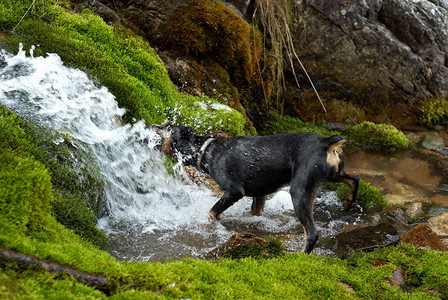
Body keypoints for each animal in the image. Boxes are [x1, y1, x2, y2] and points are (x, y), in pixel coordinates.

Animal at [142, 124, 358, 253]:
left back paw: (299, 256)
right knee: (354, 179)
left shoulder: (234, 191)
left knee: (312, 234)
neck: (206, 150)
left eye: (164, 127)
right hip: (333, 173)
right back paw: (349, 203)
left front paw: (206, 227)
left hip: (300, 192)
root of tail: (325, 142)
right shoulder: (260, 194)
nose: (147, 125)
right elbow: (254, 214)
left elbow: (211, 212)